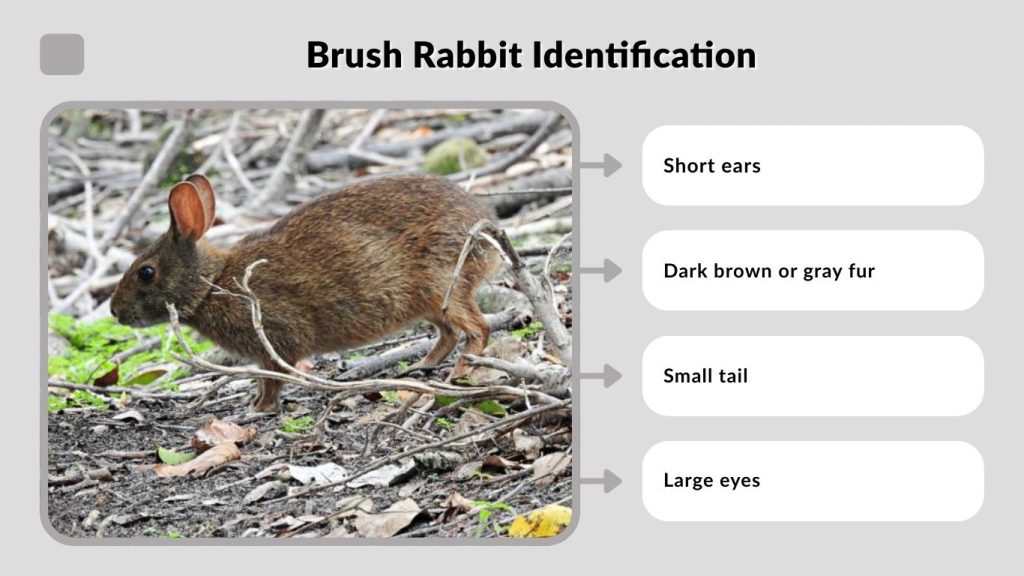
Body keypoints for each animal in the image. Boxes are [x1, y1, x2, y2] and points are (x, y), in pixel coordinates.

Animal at [110, 173, 500, 412]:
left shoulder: (276, 342)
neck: (213, 283)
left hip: (443, 284)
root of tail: (488, 228)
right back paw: (424, 364)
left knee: (478, 328)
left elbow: (273, 380)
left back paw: (459, 371)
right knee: (449, 333)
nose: (114, 311)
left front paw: (259, 408)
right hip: (430, 301)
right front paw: (256, 405)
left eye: (146, 273)